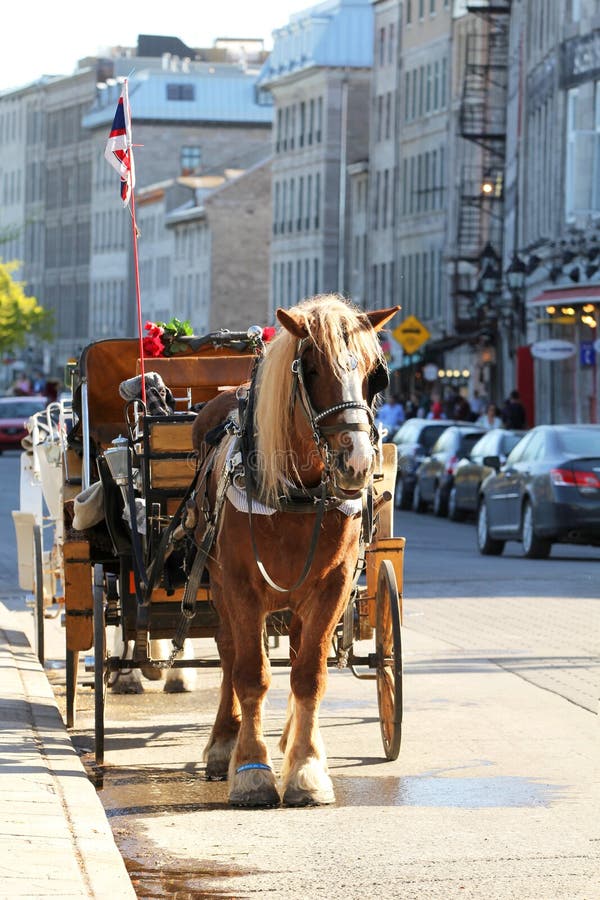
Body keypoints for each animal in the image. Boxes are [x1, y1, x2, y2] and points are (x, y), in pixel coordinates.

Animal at [193, 296, 398, 808]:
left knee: (300, 649)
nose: (357, 462)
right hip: (218, 586)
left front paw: (305, 767)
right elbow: (250, 673)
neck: (298, 492)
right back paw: (223, 743)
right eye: (312, 368)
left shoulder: (333, 585)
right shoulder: (240, 587)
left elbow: (309, 674)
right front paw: (251, 769)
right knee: (229, 654)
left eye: (375, 374)